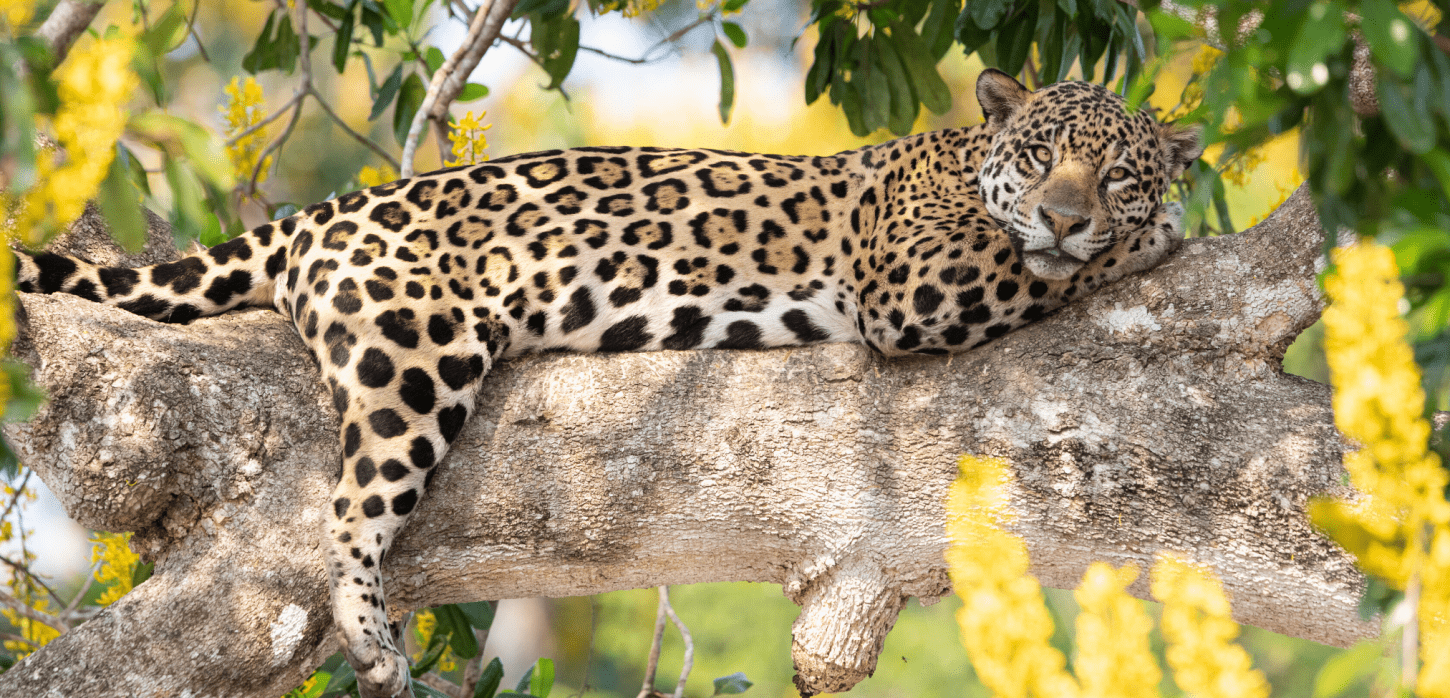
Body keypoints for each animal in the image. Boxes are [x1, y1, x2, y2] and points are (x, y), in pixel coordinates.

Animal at [13, 69, 1200, 698]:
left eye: (1115, 170)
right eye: (1043, 157)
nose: (1069, 212)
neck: (960, 160)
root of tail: (325, 211)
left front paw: (1144, 225)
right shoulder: (911, 279)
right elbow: (1037, 265)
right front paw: (1148, 239)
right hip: (415, 352)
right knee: (349, 505)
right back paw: (371, 633)